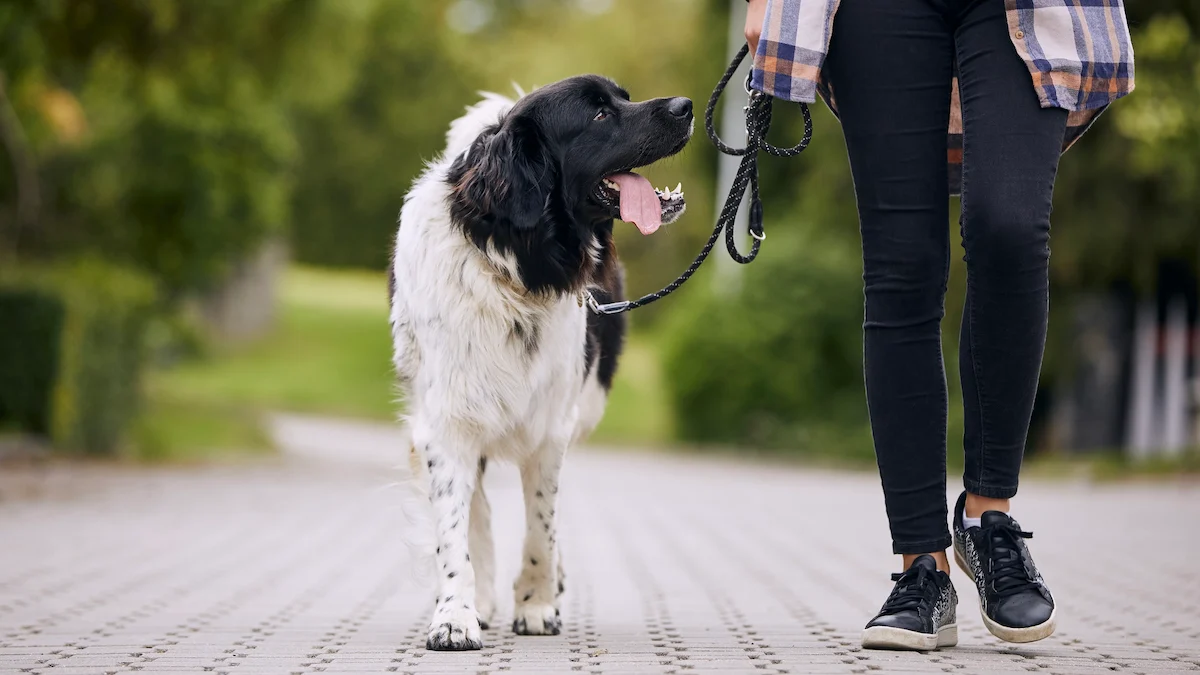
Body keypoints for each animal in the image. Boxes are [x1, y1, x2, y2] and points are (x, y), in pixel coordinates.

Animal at [391, 76, 696, 648]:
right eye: (598, 115)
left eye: (623, 97)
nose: (686, 105)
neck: (514, 266)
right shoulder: (443, 424)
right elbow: (455, 530)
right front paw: (456, 615)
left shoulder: (552, 426)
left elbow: (541, 524)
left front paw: (536, 604)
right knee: (478, 511)